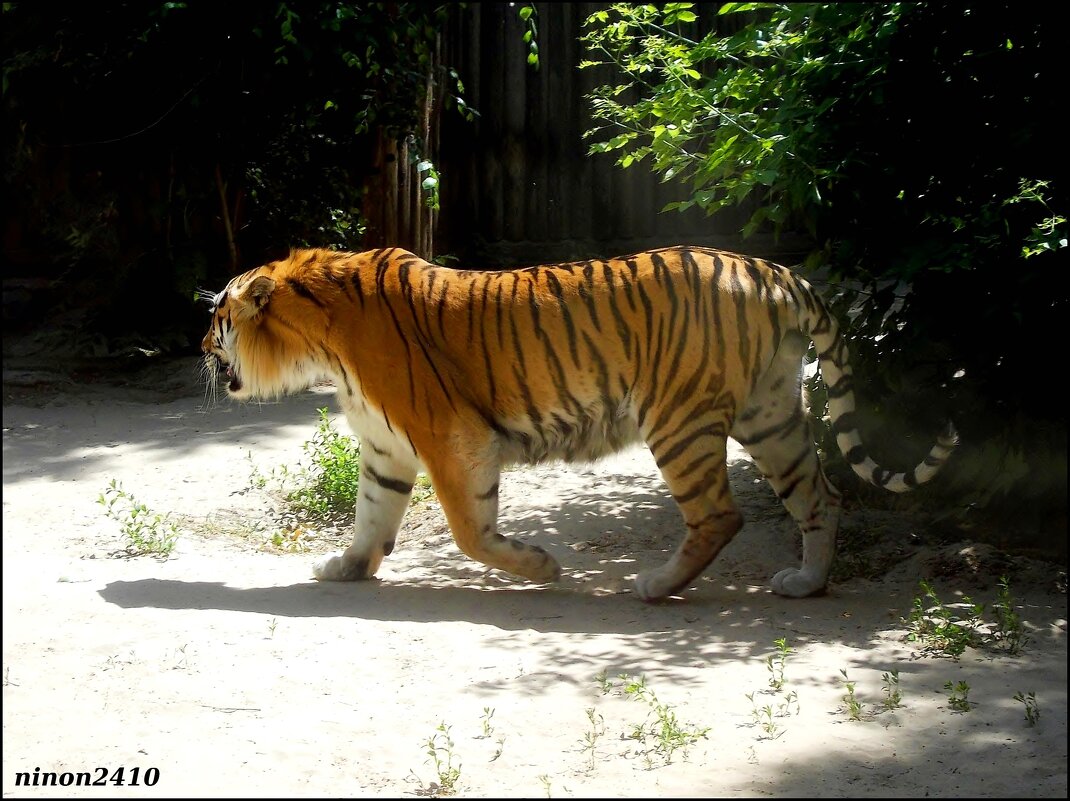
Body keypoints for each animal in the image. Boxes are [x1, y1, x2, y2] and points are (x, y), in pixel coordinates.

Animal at [204, 243, 958, 598]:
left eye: (218, 319)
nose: (202, 347)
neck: (319, 344)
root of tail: (772, 271)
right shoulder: (386, 450)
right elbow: (370, 519)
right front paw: (345, 568)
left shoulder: (451, 438)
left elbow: (470, 531)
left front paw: (541, 568)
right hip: (772, 415)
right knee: (820, 496)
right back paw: (806, 583)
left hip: (678, 421)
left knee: (719, 514)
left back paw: (655, 585)